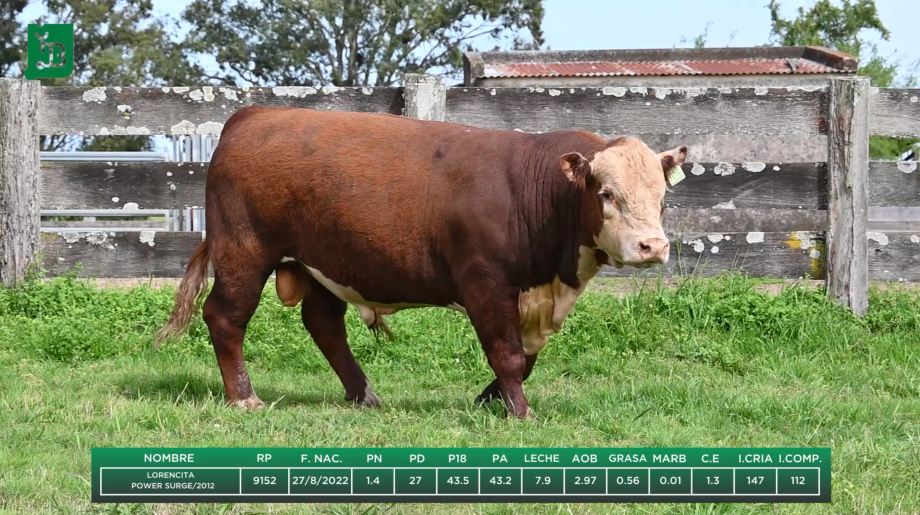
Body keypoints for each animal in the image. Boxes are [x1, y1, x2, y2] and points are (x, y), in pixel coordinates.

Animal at [155, 105, 688, 420]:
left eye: (663, 199)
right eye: (606, 193)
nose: (652, 247)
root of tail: (254, 114)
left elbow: (527, 356)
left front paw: (490, 398)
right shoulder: (485, 281)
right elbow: (509, 353)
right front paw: (518, 410)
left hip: (323, 262)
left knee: (323, 323)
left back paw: (363, 394)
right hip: (244, 253)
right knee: (226, 317)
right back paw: (244, 397)